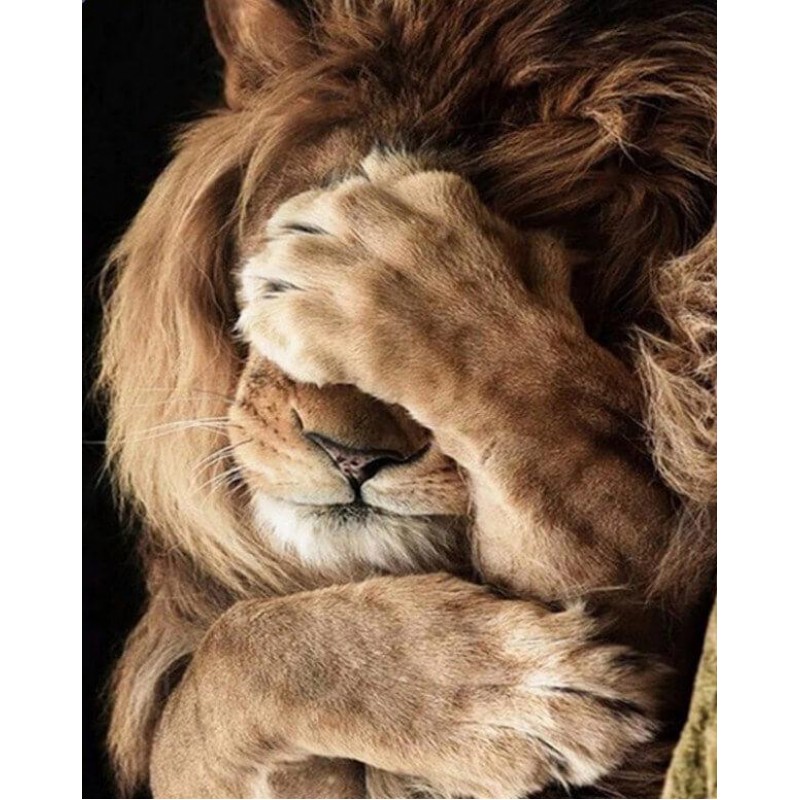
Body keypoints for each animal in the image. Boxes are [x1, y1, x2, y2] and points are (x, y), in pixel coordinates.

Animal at [99, 1, 716, 798]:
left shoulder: (666, 626)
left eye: (573, 289)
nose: (350, 456)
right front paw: (506, 701)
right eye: (274, 253)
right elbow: (218, 672)